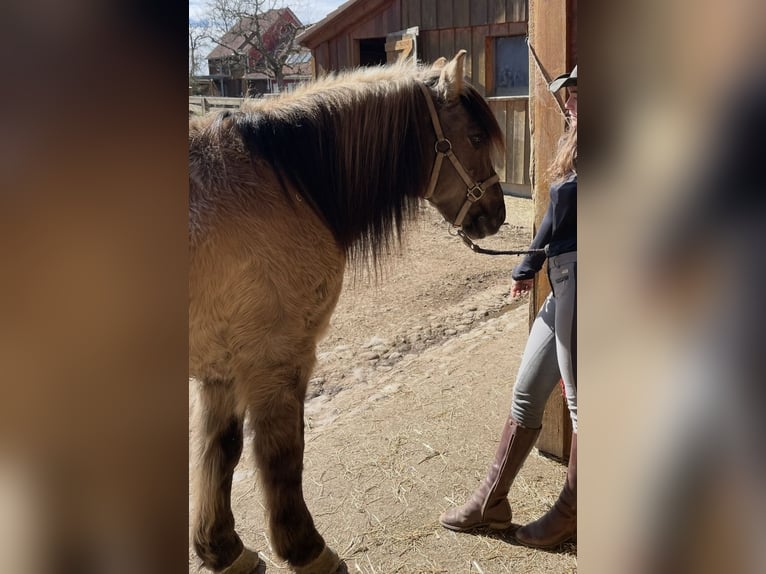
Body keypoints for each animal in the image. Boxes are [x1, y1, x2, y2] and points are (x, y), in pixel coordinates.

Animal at [189, 50, 506, 574]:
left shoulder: (223, 369)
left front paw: (222, 549)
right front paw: (306, 549)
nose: (496, 215)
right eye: (477, 139)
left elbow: (223, 452)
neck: (283, 184)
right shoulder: (277, 357)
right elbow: (283, 456)